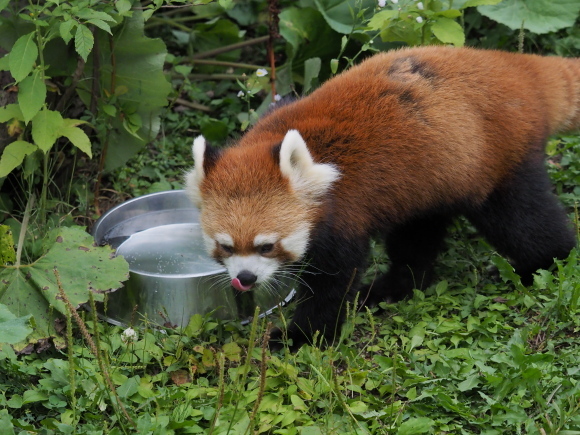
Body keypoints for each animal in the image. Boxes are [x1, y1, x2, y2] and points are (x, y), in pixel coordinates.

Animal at [187, 46, 580, 350]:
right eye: (225, 246)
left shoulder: (345, 213)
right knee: (417, 238)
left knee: (522, 221)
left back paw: (541, 264)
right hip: (430, 181)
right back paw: (390, 288)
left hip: (497, 161)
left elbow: (333, 282)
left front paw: (301, 335)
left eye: (266, 246)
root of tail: (517, 68)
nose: (246, 278)